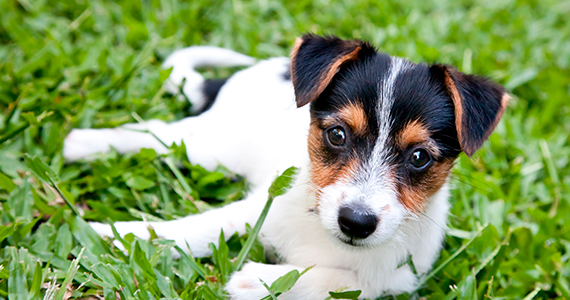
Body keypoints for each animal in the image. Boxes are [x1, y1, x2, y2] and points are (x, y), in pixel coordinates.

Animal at [62, 34, 506, 298]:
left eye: (419, 158)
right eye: (337, 135)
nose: (356, 222)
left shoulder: (394, 279)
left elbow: (340, 281)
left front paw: (256, 278)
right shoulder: (258, 207)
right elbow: (194, 228)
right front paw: (111, 235)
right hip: (208, 148)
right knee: (156, 134)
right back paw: (83, 142)